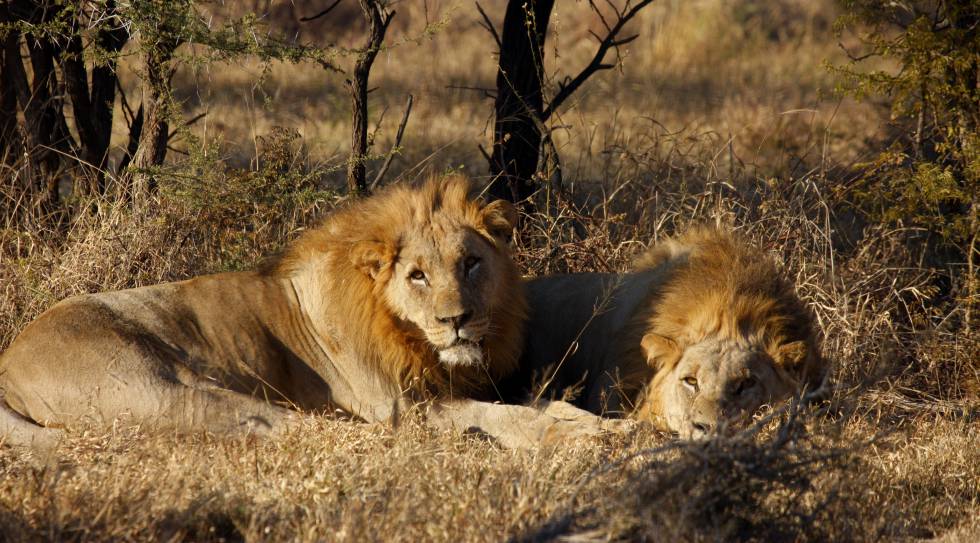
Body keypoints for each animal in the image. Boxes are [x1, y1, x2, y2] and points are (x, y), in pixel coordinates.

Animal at [0, 175, 620, 450]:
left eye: (470, 263)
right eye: (417, 275)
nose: (456, 320)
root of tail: (9, 362)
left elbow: (537, 403)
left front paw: (598, 423)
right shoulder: (406, 403)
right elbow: (505, 416)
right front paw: (567, 437)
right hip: (162, 387)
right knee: (295, 428)